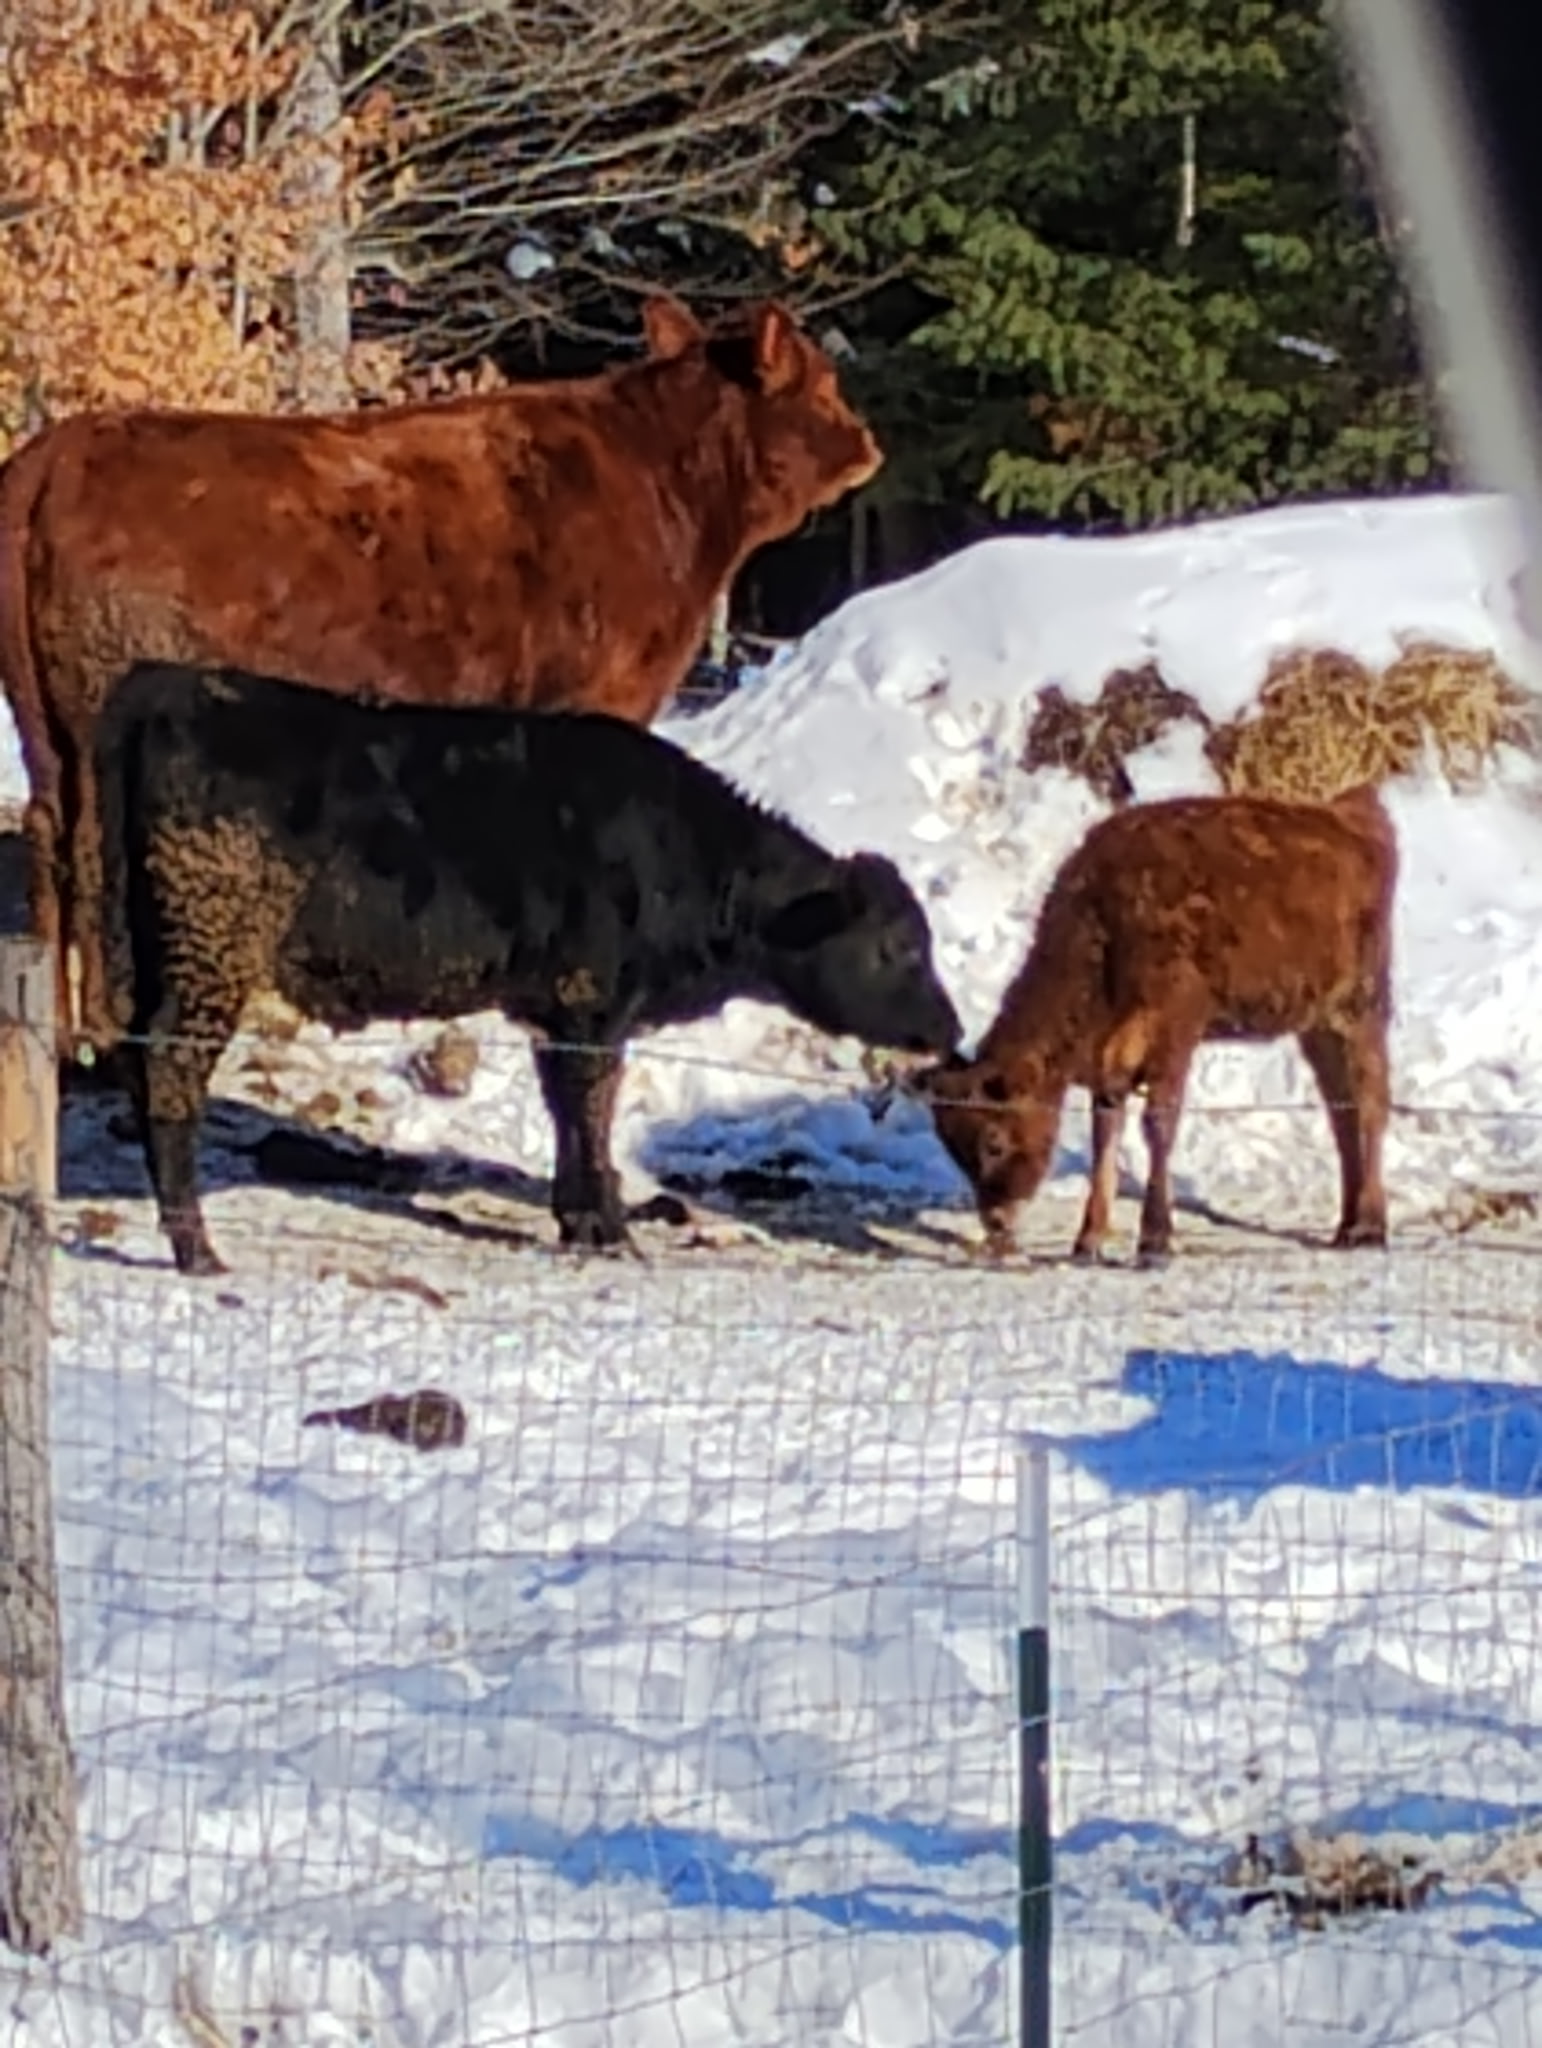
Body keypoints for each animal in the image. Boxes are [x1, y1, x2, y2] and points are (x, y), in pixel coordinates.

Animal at [0, 293, 882, 1055]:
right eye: (823, 383)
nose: (868, 441)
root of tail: (54, 454)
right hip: (104, 714)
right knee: (91, 848)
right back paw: (105, 1028)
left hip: (46, 730)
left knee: (48, 834)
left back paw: (63, 1030)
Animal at [95, 661, 962, 1275]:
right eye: (898, 946)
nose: (949, 1028)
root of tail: (172, 682)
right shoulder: (595, 1005)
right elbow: (591, 1109)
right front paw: (608, 1229)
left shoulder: (559, 1011)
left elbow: (571, 1113)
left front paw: (581, 1221)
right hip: (211, 953)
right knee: (172, 1070)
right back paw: (197, 1249)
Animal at [917, 785, 1397, 1266]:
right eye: (950, 1144)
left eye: (993, 1142)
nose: (996, 1220)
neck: (1104, 923)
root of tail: (1355, 817)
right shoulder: (1111, 1062)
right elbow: (1105, 1133)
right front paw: (1088, 1240)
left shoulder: (1175, 1031)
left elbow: (1158, 1124)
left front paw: (1154, 1239)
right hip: (1317, 1027)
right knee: (1342, 1112)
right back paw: (1345, 1226)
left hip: (1361, 1010)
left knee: (1370, 1103)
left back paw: (1370, 1227)